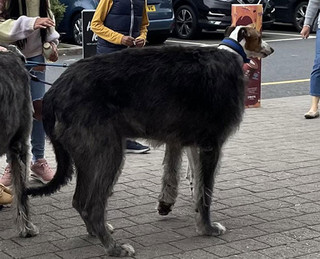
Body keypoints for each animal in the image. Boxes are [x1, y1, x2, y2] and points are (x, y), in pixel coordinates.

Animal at [26, 25, 274, 256]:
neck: (231, 52)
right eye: (259, 35)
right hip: (107, 152)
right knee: (92, 205)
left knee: (79, 200)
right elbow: (206, 192)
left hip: (88, 155)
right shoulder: (211, 145)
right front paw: (208, 228)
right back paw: (114, 247)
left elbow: (197, 187)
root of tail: (54, 92)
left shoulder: (195, 146)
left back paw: (96, 233)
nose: (270, 49)